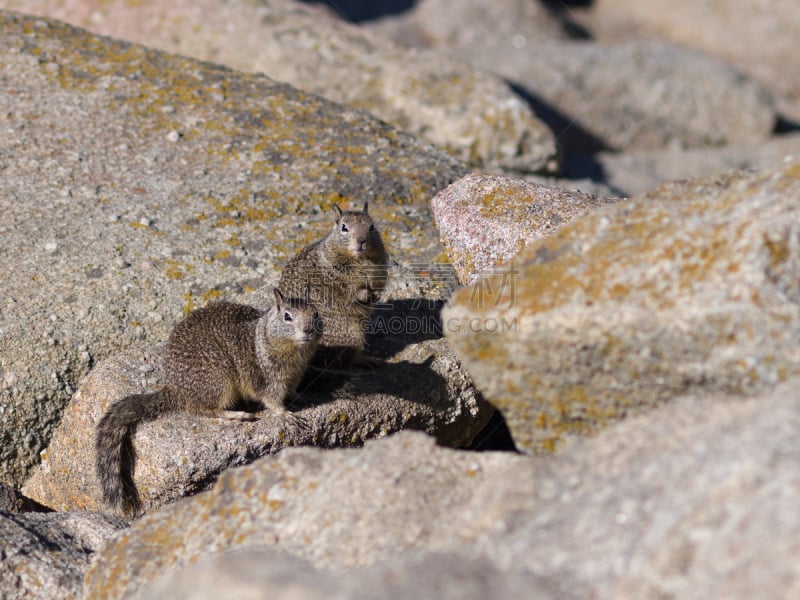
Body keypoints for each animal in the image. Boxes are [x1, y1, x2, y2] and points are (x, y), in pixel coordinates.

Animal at [99, 290, 322, 516]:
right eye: (287, 316)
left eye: (315, 313)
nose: (308, 330)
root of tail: (176, 390)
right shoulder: (266, 378)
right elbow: (272, 400)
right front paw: (285, 414)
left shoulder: (296, 374)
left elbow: (293, 391)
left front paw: (304, 395)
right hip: (220, 380)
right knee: (203, 409)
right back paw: (237, 415)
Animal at [280, 204, 390, 368]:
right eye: (344, 227)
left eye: (372, 226)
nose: (362, 241)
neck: (361, 259)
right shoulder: (337, 281)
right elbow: (348, 293)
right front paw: (363, 294)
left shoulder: (379, 272)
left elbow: (378, 286)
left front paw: (376, 295)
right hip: (351, 334)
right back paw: (366, 359)